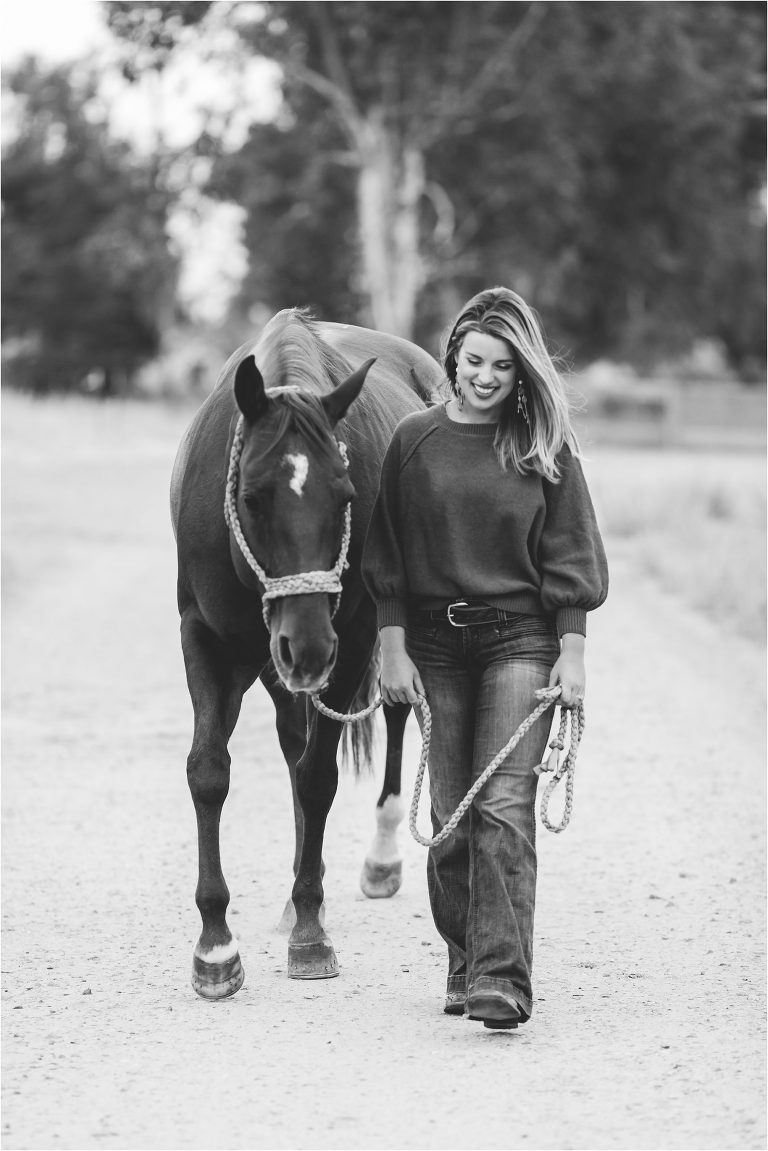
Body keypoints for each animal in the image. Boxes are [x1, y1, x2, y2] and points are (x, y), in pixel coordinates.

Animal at [170, 309, 443, 999]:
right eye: (252, 496)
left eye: (345, 496)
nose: (311, 646)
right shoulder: (204, 640)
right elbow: (209, 772)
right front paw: (215, 944)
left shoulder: (354, 645)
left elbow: (318, 778)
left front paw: (311, 934)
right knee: (294, 740)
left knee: (393, 714)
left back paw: (379, 859)